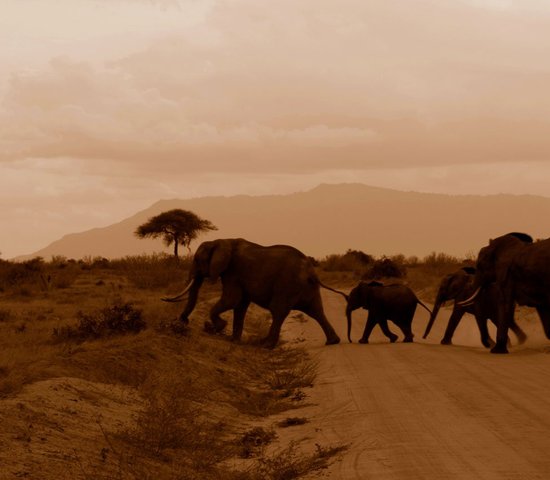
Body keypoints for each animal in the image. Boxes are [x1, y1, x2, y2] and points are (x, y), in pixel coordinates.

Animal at [162, 238, 348, 346]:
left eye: (197, 260)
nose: (183, 321)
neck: (220, 241)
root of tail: (311, 272)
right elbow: (240, 304)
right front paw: (234, 340)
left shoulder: (233, 271)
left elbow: (232, 299)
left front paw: (218, 327)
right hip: (307, 287)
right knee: (316, 311)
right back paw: (333, 341)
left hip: (287, 285)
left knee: (278, 310)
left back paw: (265, 345)